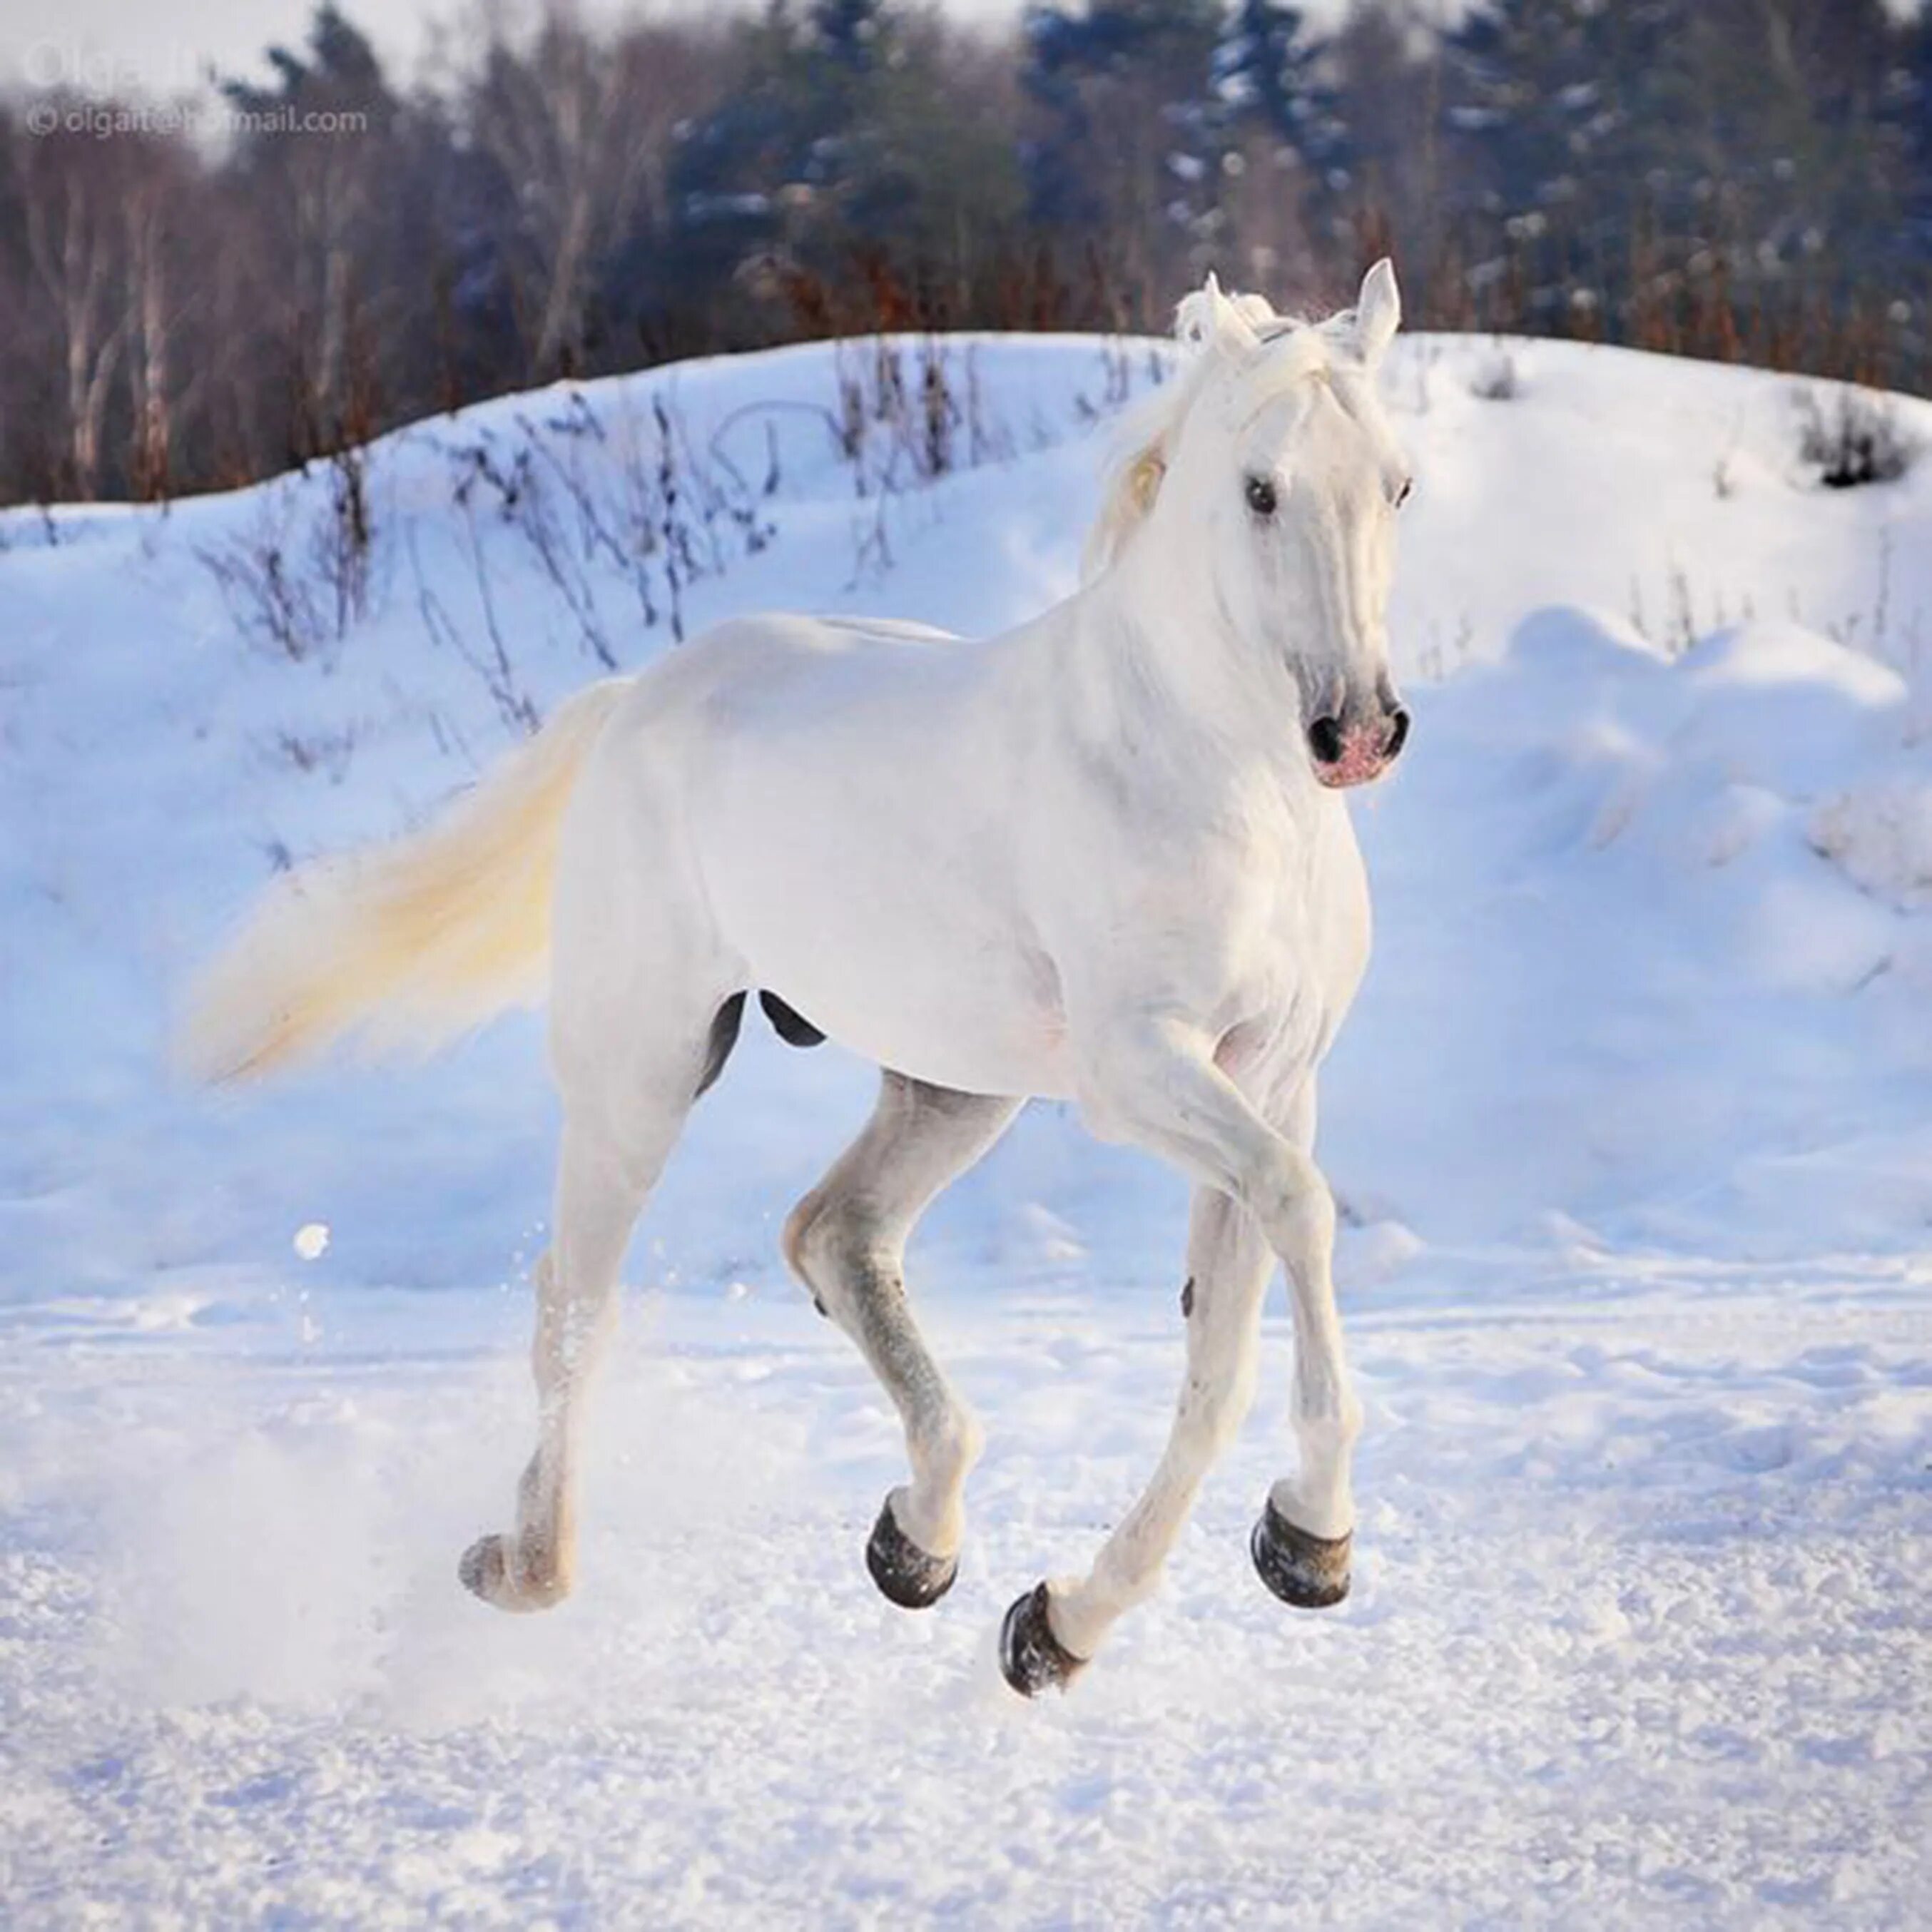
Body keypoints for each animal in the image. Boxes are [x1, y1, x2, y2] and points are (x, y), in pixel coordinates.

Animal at [188, 264, 1414, 1700]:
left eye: (1396, 483)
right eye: (1261, 489)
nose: (1357, 734)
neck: (1215, 779)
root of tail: (638, 695)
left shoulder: (1269, 1075)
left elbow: (1221, 1346)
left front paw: (1079, 1617)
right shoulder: (1137, 1070)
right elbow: (1299, 1212)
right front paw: (1309, 1536)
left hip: (954, 1082)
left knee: (835, 1232)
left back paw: (917, 1539)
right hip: (645, 1069)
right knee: (575, 1302)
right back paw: (528, 1563)